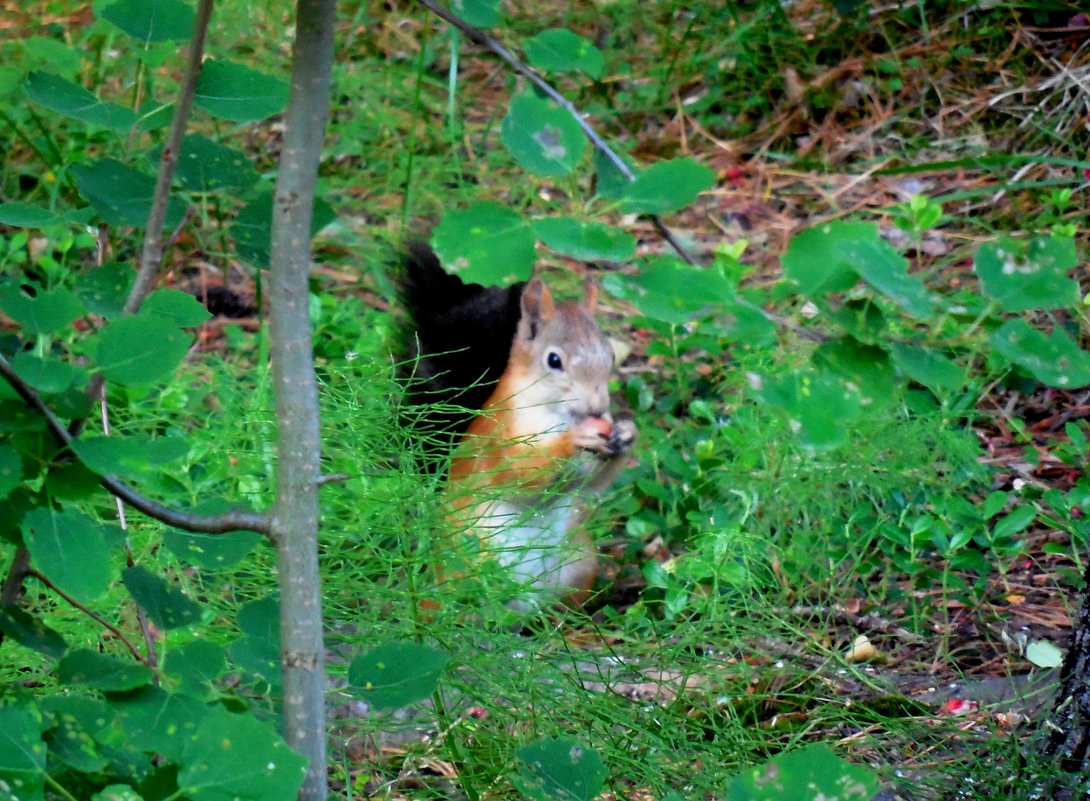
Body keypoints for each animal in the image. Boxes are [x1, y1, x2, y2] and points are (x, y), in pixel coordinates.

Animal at [401, 240, 636, 610]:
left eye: (611, 356)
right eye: (554, 360)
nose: (599, 408)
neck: (557, 413)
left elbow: (592, 482)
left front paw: (627, 434)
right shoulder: (502, 434)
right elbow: (518, 475)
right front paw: (574, 439)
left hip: (578, 560)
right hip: (469, 565)